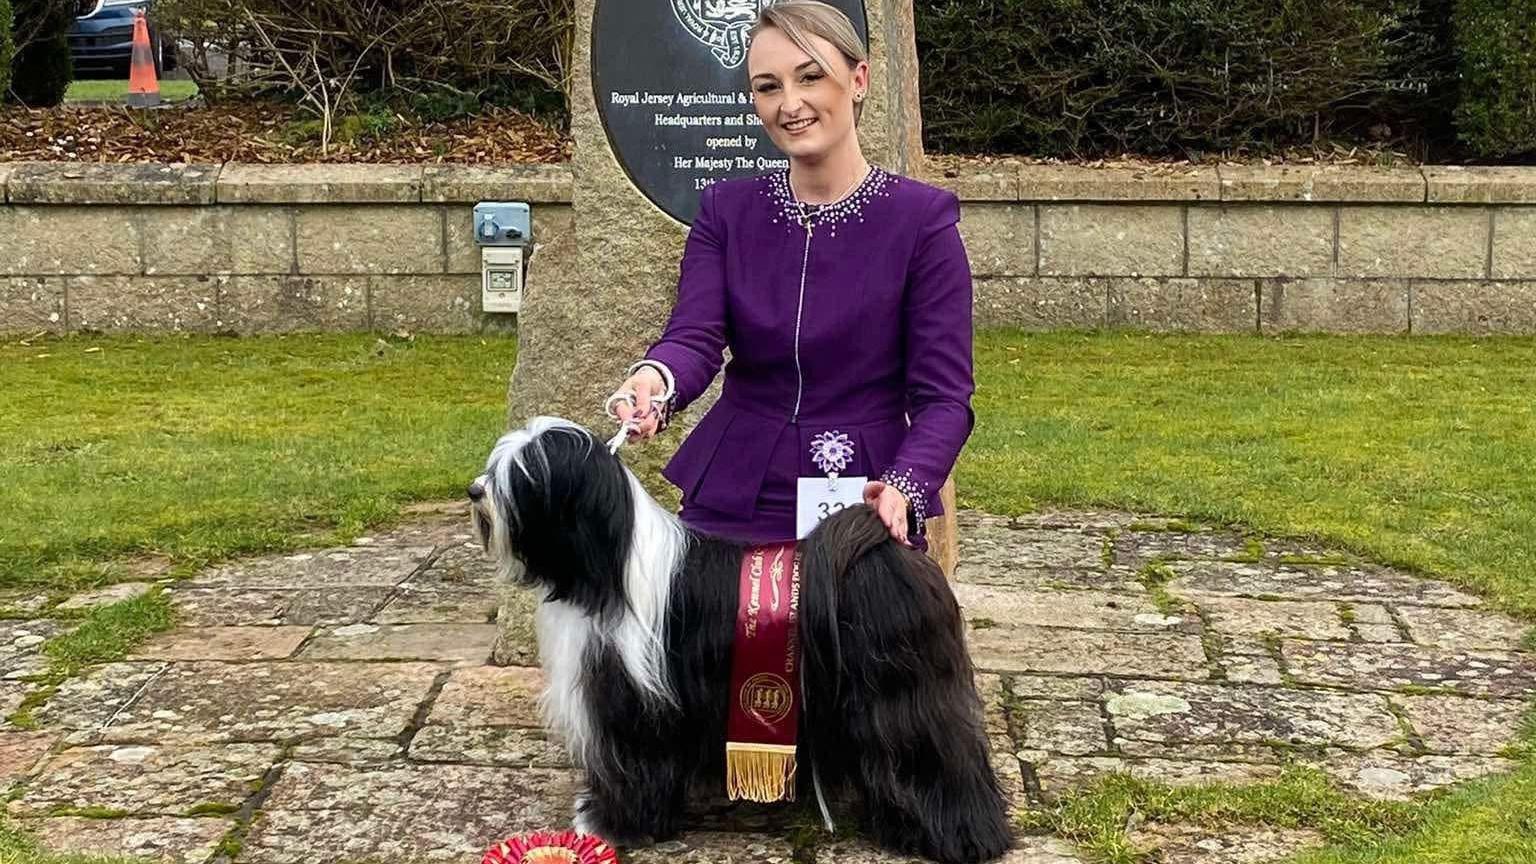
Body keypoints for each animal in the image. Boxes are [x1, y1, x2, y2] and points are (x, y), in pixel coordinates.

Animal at [473, 418, 1013, 860]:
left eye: (525, 474)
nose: (475, 490)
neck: (609, 564)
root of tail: (884, 548)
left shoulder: (634, 703)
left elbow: (632, 765)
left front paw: (610, 823)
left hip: (902, 701)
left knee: (940, 760)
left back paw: (965, 837)